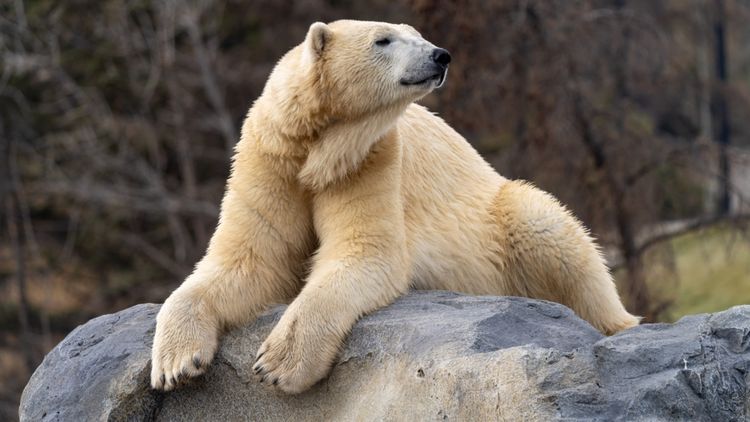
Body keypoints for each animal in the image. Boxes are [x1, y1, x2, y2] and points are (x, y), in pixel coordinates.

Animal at [151, 19, 640, 394]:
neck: (317, 149)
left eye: (417, 33)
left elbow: (366, 253)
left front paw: (278, 364)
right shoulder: (270, 161)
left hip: (502, 210)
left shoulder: (370, 160)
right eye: (383, 39)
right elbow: (249, 260)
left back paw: (622, 326)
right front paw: (176, 363)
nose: (440, 55)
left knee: (551, 232)